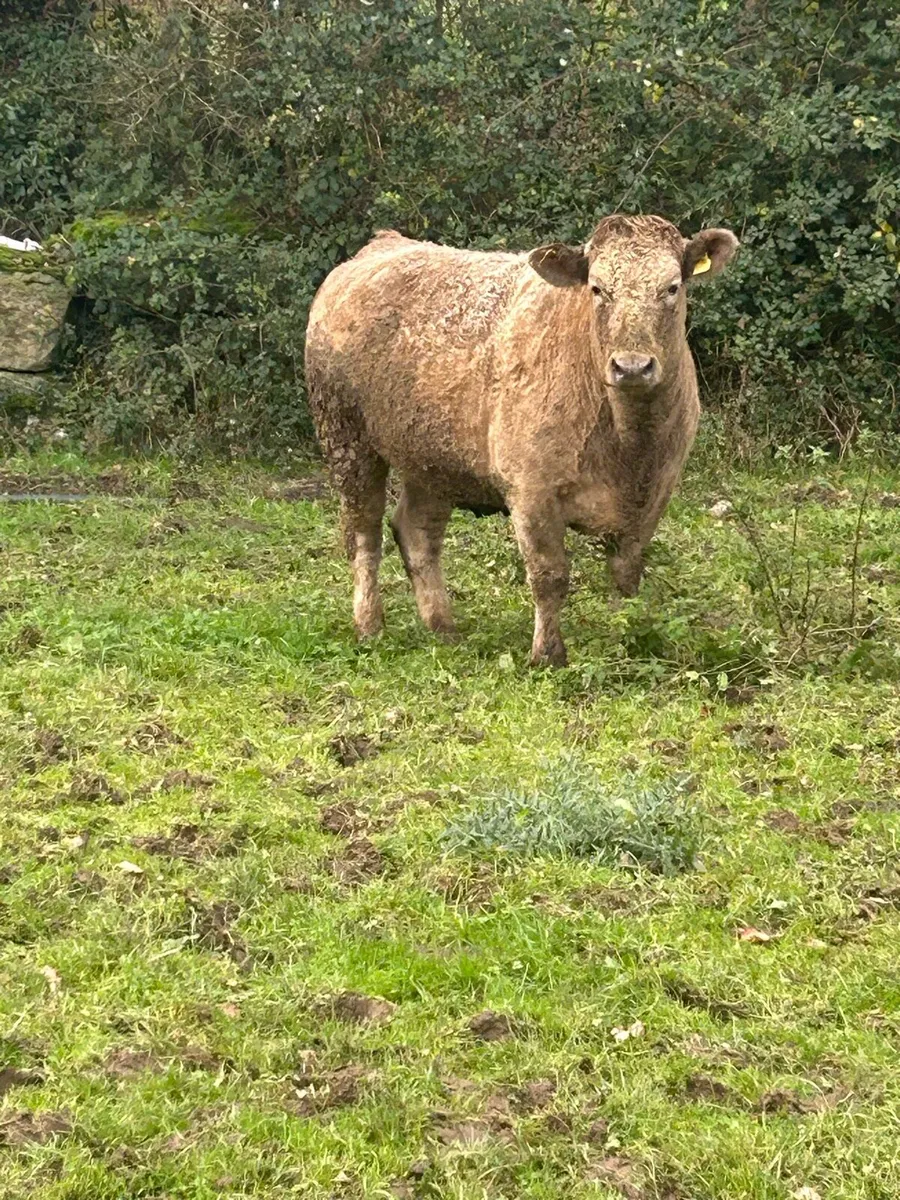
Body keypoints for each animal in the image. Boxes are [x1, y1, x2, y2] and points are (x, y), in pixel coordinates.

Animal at [305, 214, 739, 666]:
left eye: (672, 287)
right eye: (597, 288)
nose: (632, 366)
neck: (630, 444)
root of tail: (382, 245)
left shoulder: (655, 493)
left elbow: (626, 574)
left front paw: (627, 638)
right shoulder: (532, 490)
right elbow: (549, 575)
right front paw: (547, 654)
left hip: (432, 459)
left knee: (416, 533)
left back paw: (443, 626)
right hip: (345, 436)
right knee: (363, 534)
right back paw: (370, 626)